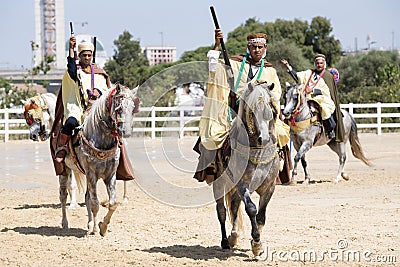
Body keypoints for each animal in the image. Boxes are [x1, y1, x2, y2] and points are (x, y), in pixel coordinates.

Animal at [60, 84, 138, 237]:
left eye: (133, 108)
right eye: (119, 107)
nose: (125, 132)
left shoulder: (110, 175)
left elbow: (112, 203)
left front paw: (103, 227)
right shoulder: (91, 174)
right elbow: (95, 203)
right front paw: (96, 229)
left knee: (86, 197)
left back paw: (90, 224)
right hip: (64, 170)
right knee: (63, 195)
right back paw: (65, 223)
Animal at [212, 81, 278, 260]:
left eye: (270, 108)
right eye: (252, 111)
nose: (264, 138)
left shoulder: (269, 187)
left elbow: (261, 216)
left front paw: (257, 245)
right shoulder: (242, 185)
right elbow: (252, 209)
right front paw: (256, 242)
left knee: (234, 206)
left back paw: (234, 237)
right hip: (219, 184)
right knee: (222, 212)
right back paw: (225, 242)